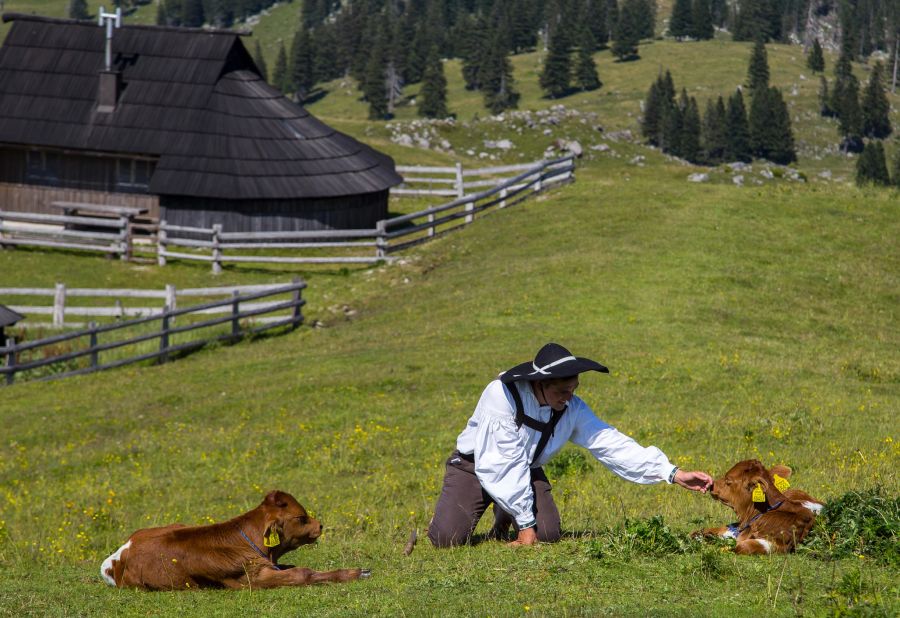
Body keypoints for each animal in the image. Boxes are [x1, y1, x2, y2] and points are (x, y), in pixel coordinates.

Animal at [98, 490, 366, 588]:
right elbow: (302, 573)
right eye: (301, 518)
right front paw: (355, 573)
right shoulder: (248, 579)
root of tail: (118, 556)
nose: (320, 525)